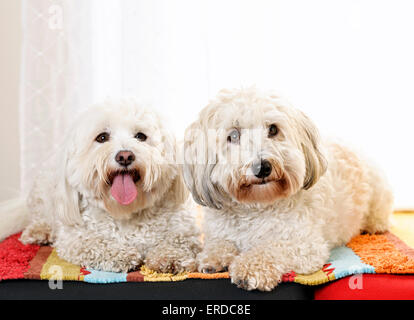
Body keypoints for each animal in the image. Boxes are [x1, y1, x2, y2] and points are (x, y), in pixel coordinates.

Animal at [0, 99, 201, 272]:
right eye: (102, 137)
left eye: (141, 136)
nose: (125, 156)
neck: (125, 211)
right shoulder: (74, 237)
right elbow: (94, 243)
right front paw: (122, 254)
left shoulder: (183, 229)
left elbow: (177, 240)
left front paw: (171, 257)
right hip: (42, 194)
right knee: (41, 216)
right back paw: (39, 231)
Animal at [183, 89, 392, 292]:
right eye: (233, 135)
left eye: (273, 129)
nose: (262, 167)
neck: (255, 207)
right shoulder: (219, 233)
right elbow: (219, 243)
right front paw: (212, 257)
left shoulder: (305, 245)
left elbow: (271, 248)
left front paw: (248, 269)